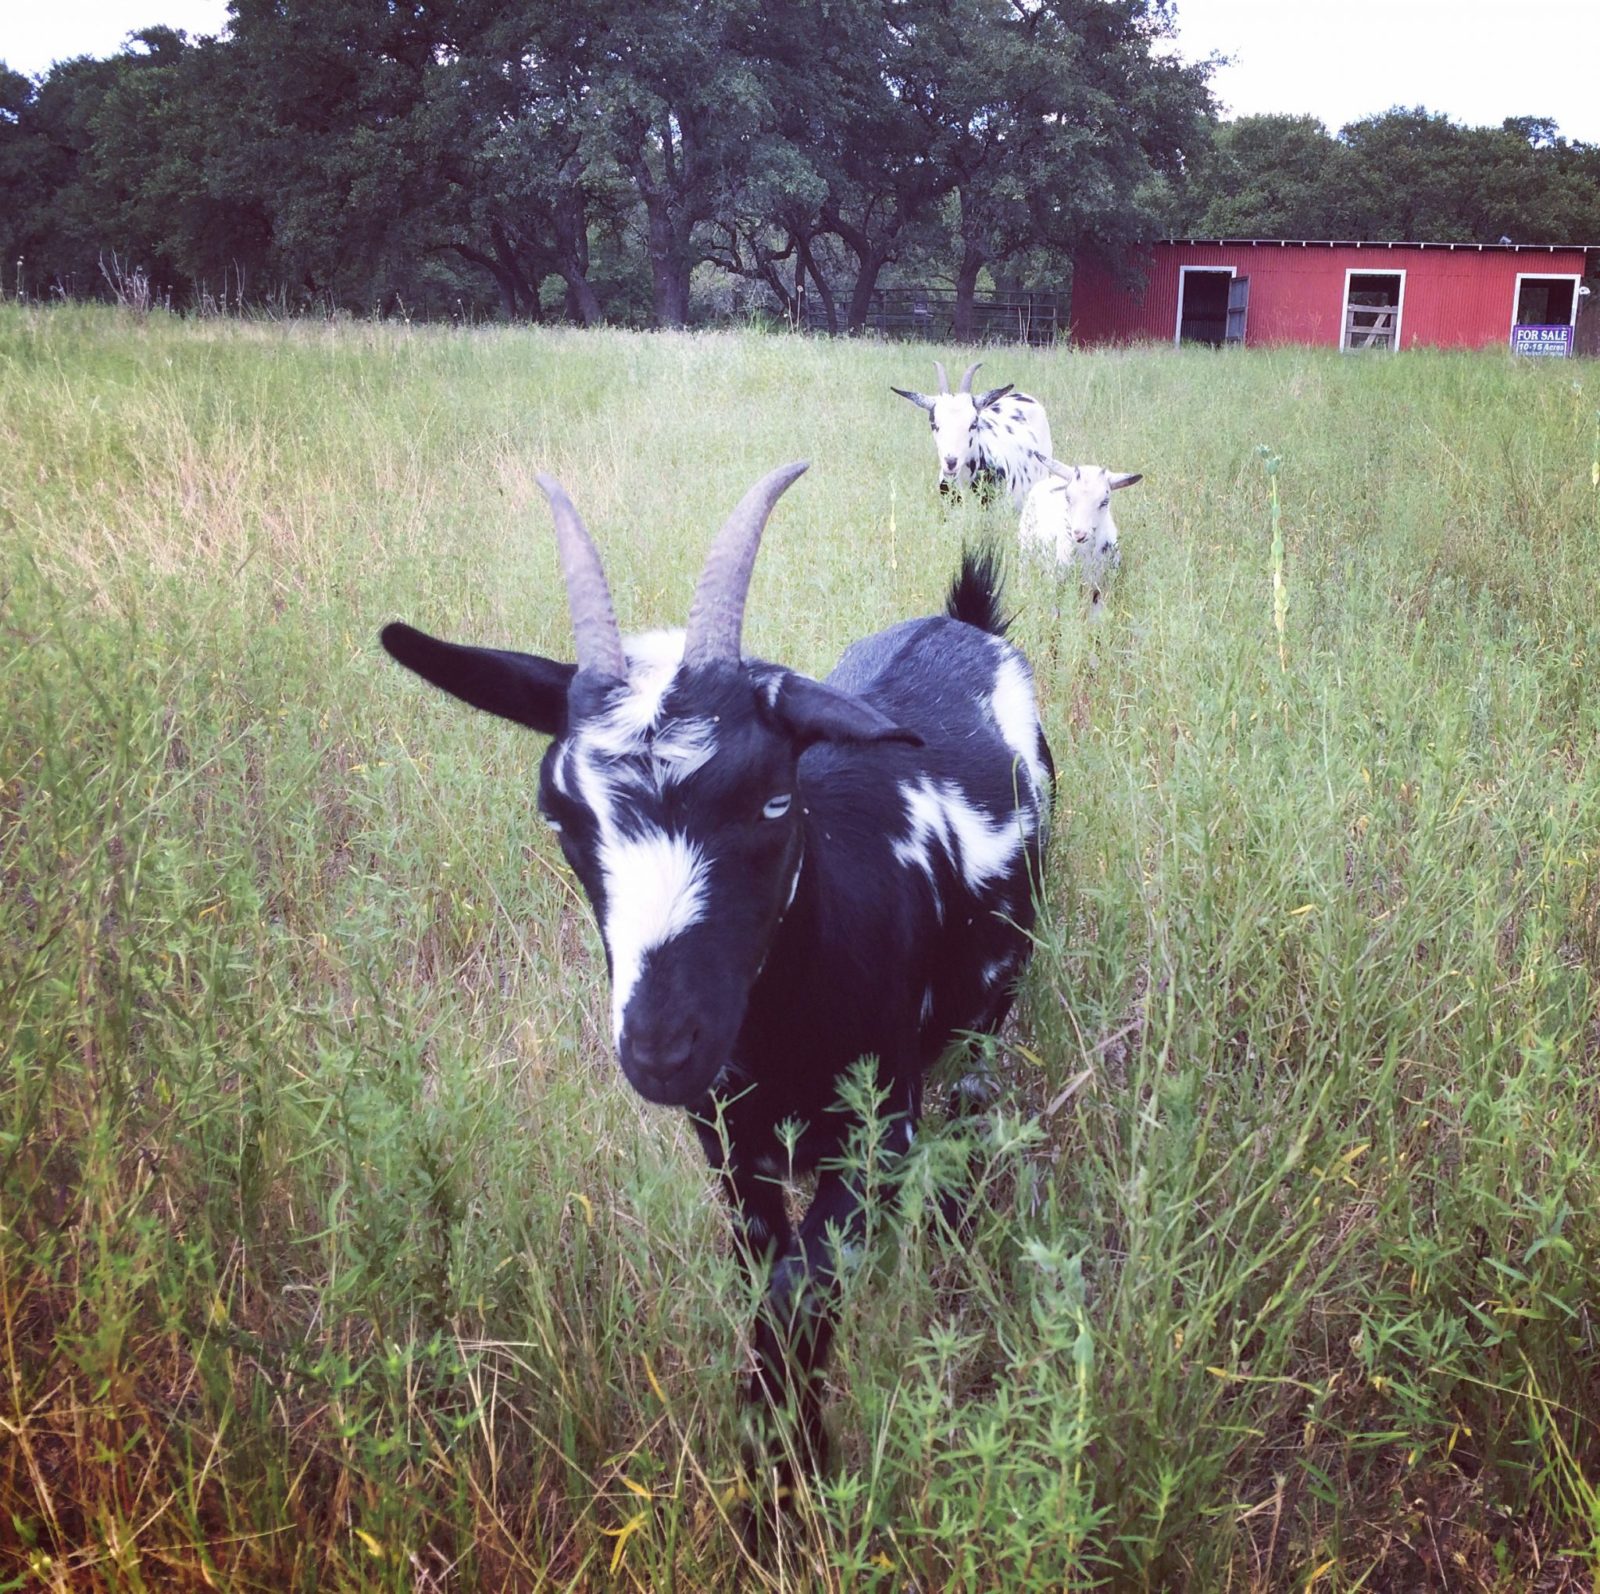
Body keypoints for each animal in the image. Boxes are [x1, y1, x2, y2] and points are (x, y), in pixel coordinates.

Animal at [374, 467, 1049, 1485]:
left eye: (772, 799)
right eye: (558, 814)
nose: (662, 1047)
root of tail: (963, 619)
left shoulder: (877, 1127)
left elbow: (801, 1292)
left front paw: (792, 1478)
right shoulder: (729, 1143)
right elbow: (764, 1272)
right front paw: (780, 1457)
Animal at [1017, 460, 1145, 617]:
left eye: (1105, 501)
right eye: (1067, 497)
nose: (1079, 534)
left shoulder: (1102, 589)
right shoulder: (1057, 583)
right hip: (1026, 555)